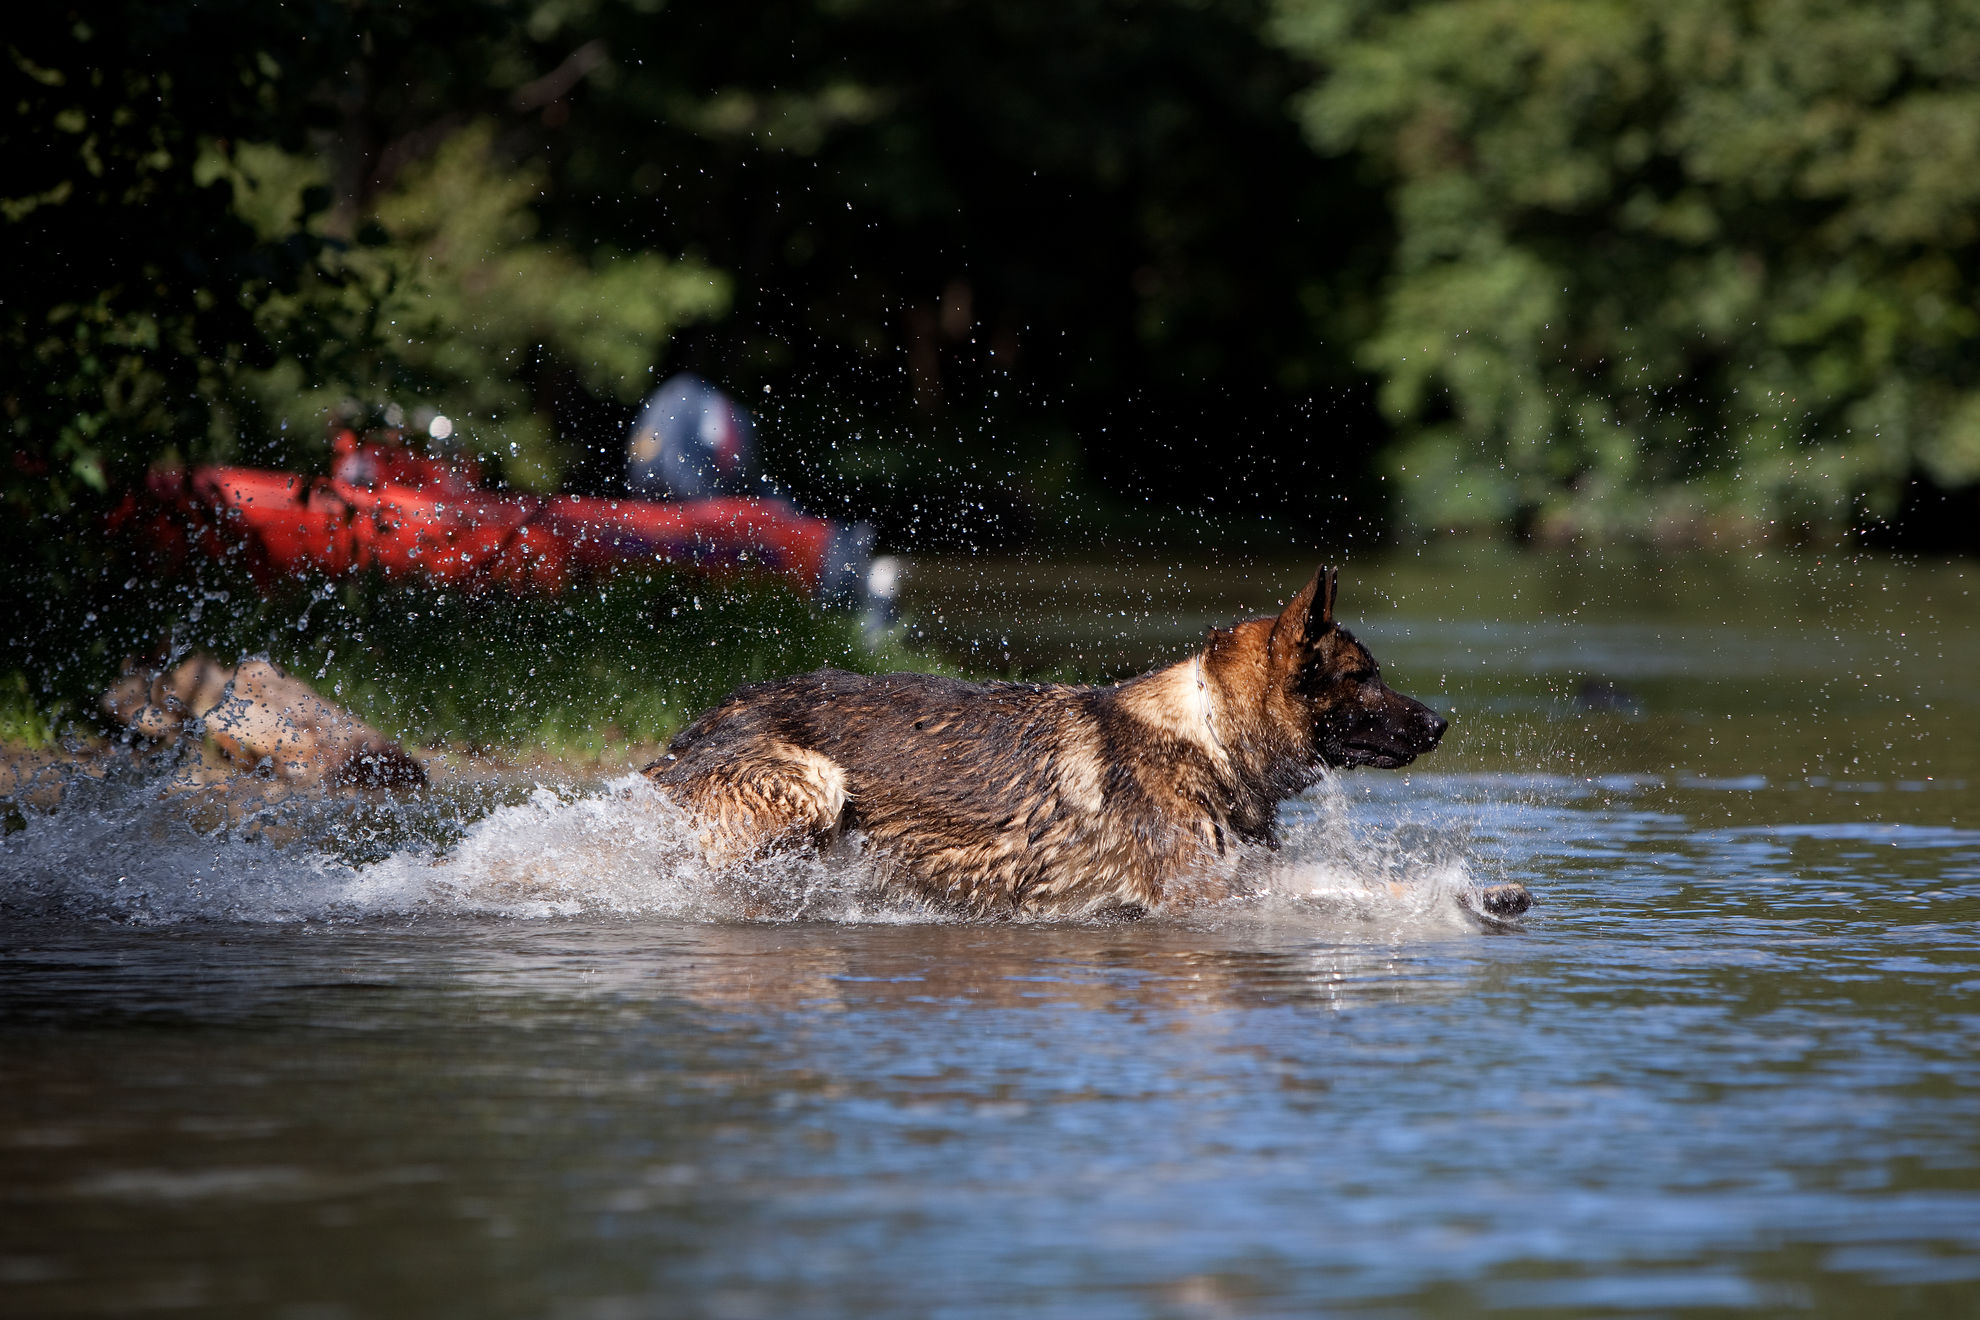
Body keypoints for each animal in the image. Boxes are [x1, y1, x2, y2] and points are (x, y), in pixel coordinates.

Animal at [641, 569, 1520, 918]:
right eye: (1365, 678)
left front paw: (1477, 893)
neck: (1207, 735)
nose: (1441, 725)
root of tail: (684, 739)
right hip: (815, 786)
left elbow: (1348, 881)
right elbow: (1337, 891)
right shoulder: (1210, 895)